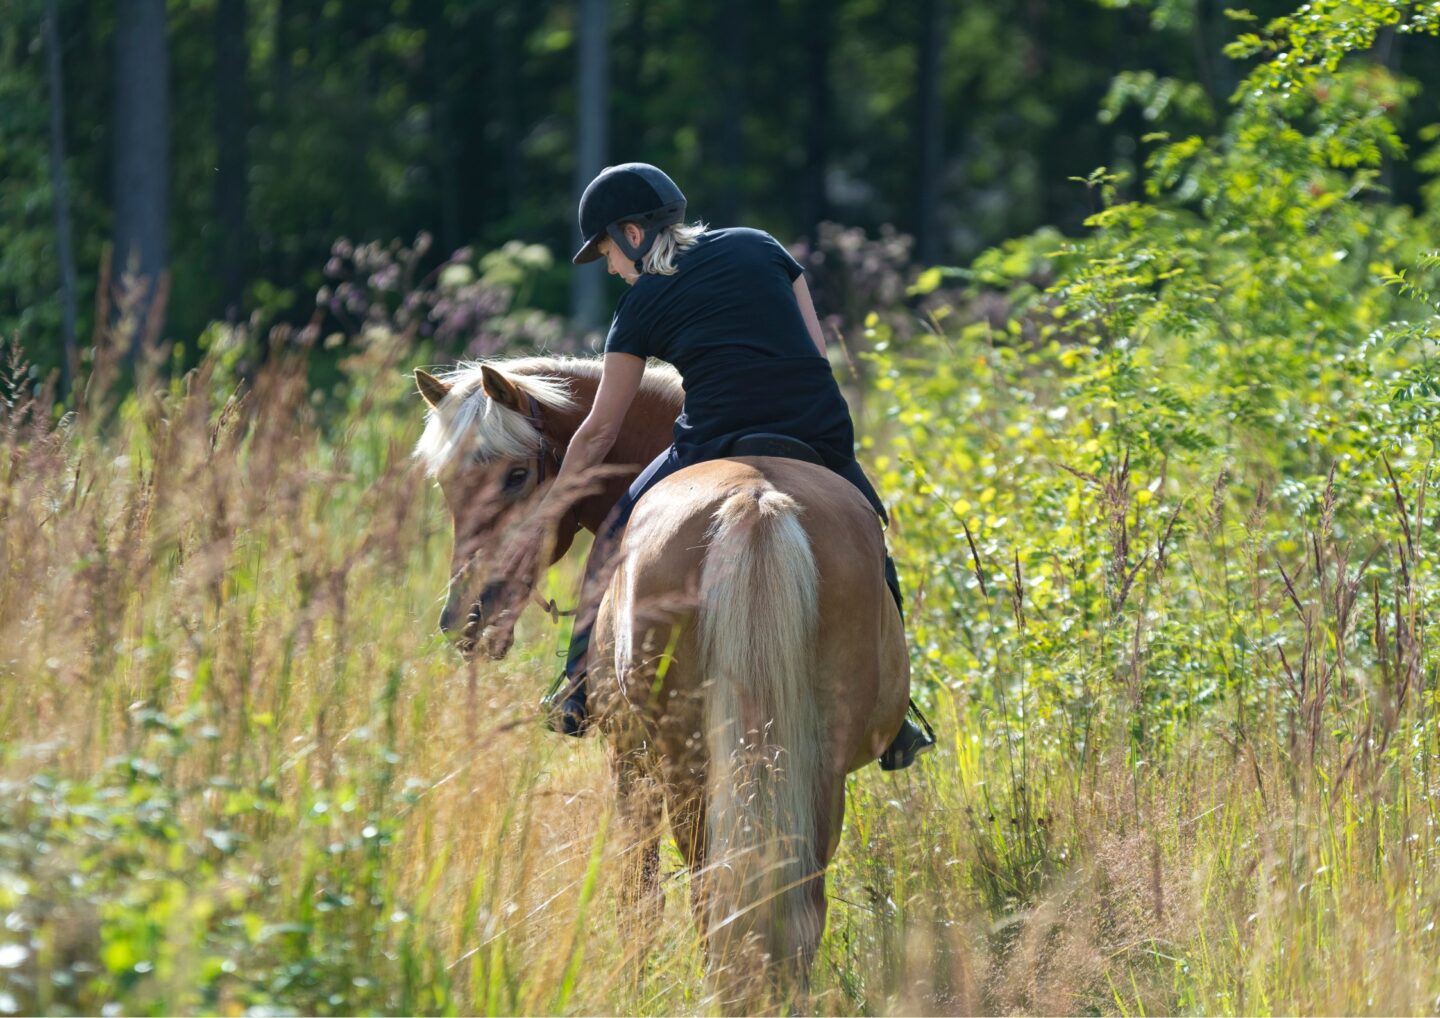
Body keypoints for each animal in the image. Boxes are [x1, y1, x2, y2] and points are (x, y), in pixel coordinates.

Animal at [413, 355, 910, 999]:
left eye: (517, 475)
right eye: (446, 484)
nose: (465, 617)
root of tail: (754, 502)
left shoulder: (628, 760)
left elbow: (637, 897)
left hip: (687, 767)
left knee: (709, 895)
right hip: (813, 765)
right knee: (795, 903)